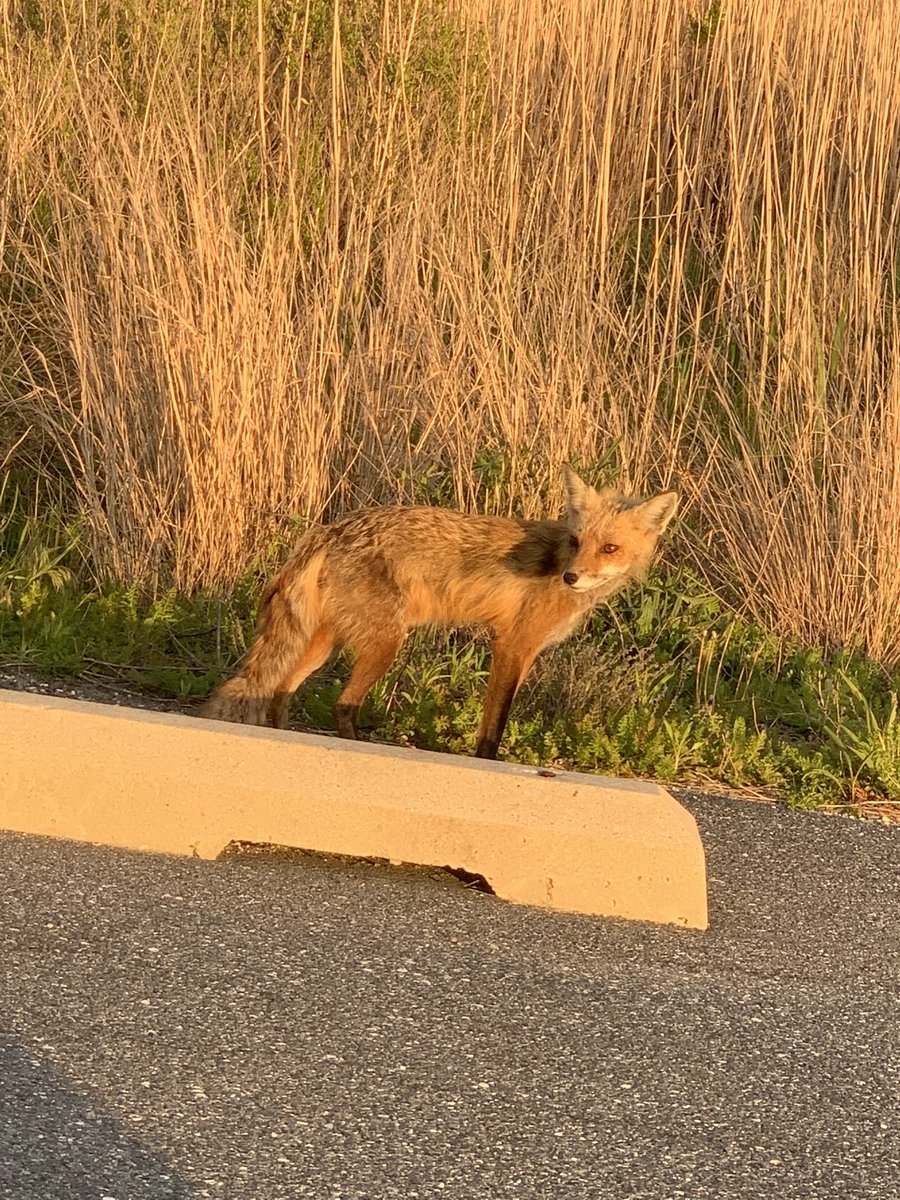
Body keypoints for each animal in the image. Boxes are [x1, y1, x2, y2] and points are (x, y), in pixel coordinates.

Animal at [199, 465, 678, 759]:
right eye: (578, 542)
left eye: (609, 548)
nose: (571, 577)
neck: (556, 560)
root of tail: (329, 529)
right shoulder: (512, 644)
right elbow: (493, 726)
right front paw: (488, 763)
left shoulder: (525, 653)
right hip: (385, 643)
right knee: (341, 706)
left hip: (325, 643)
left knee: (280, 692)